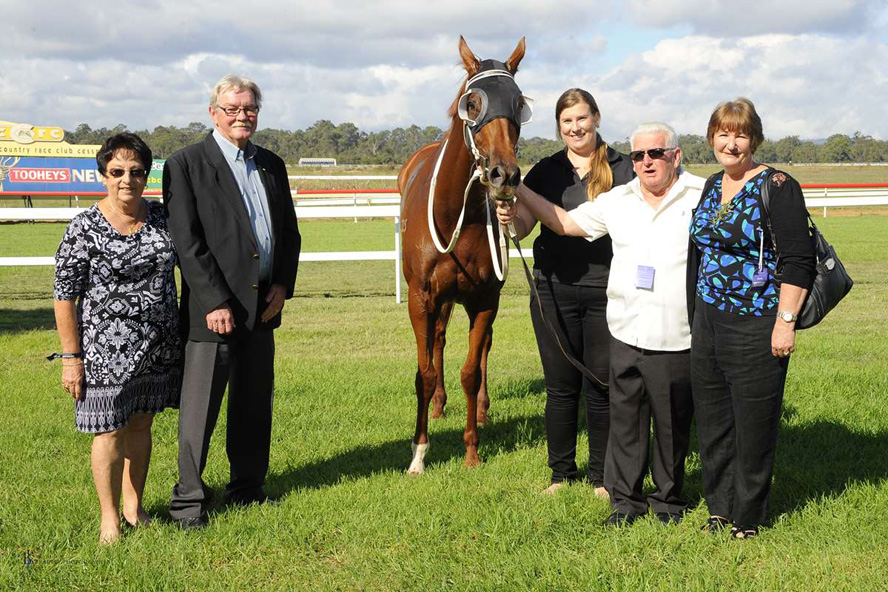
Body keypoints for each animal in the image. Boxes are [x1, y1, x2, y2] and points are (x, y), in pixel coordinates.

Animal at [398, 36, 531, 475]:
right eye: (472, 103)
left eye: (519, 103)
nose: (505, 175)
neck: (455, 211)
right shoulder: (421, 297)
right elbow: (424, 372)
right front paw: (419, 452)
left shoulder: (485, 298)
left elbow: (471, 370)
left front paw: (472, 450)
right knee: (437, 342)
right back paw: (438, 406)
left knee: (482, 347)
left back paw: (483, 411)